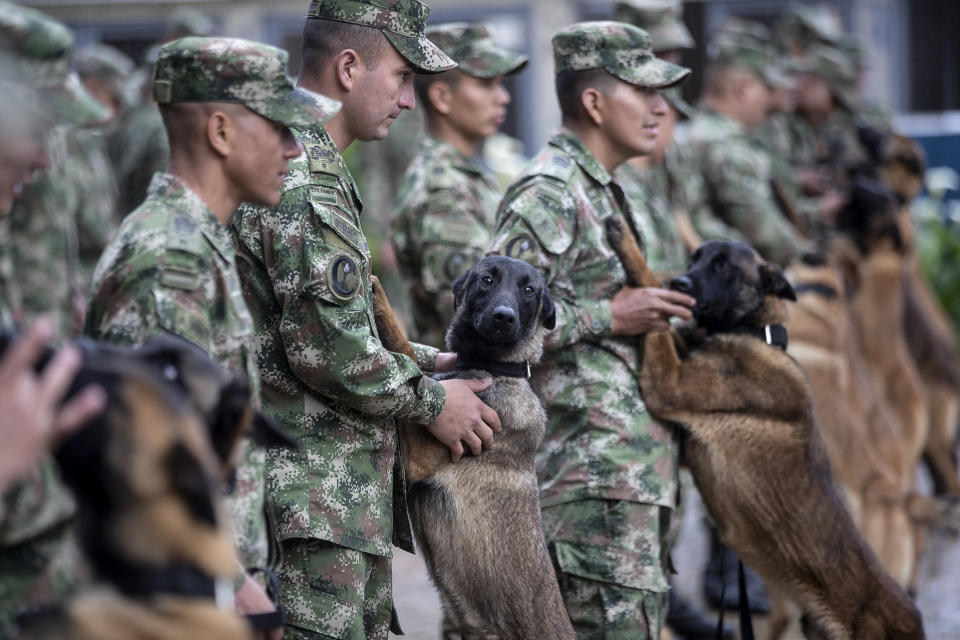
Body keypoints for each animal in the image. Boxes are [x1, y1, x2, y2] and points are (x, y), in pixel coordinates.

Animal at [372, 256, 572, 640]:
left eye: (529, 290)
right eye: (487, 280)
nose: (504, 317)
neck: (491, 368)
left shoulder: (419, 454)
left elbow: (408, 357)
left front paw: (380, 301)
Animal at [604, 216, 928, 640]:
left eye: (723, 266)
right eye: (695, 259)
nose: (680, 282)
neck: (753, 332)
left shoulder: (668, 384)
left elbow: (655, 309)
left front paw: (630, 248)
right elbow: (674, 333)